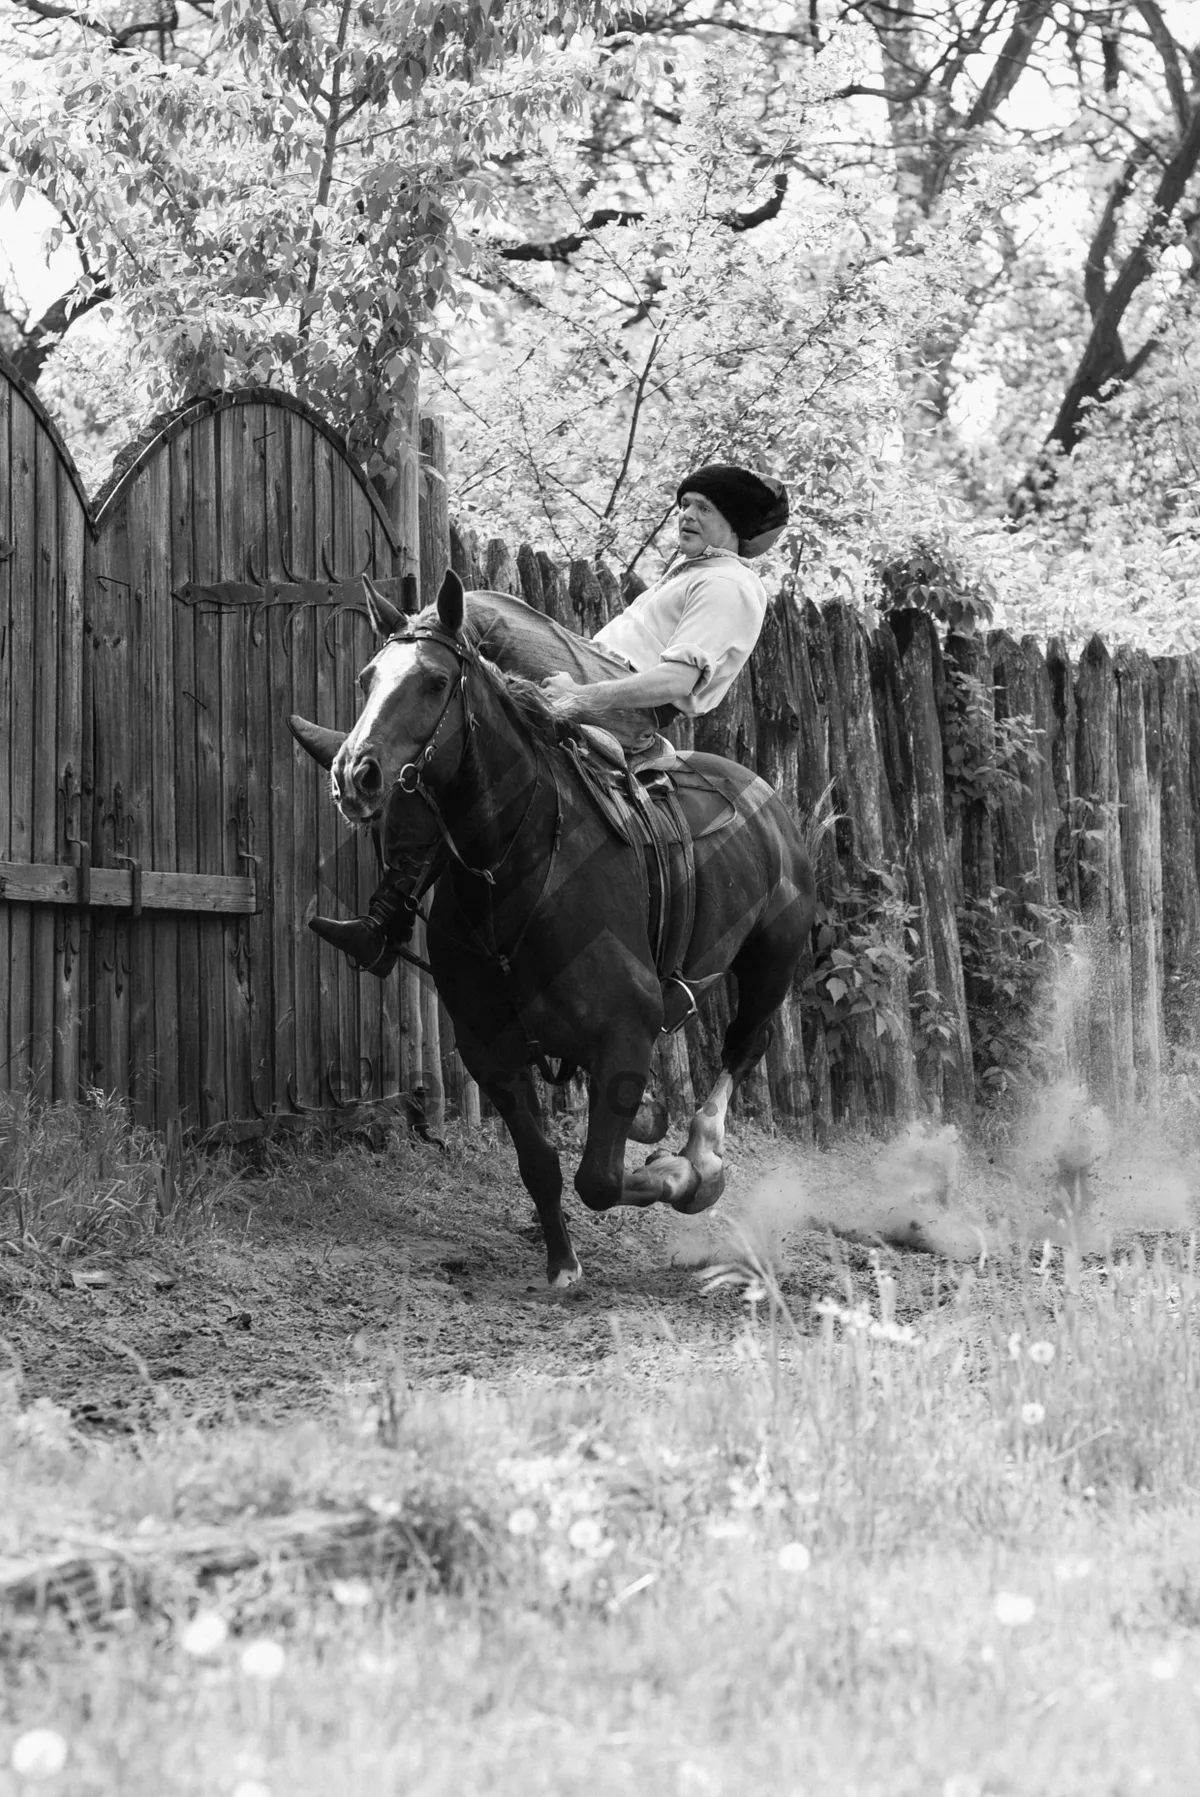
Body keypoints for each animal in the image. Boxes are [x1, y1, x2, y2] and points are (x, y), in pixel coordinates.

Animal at [291, 567, 815, 1286]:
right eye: (367, 677)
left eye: (434, 681)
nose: (353, 772)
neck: (517, 870)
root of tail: (768, 801)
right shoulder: (492, 1053)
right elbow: (540, 1163)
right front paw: (562, 1264)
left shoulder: (625, 1029)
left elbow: (599, 1177)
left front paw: (680, 1176)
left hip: (771, 964)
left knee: (742, 1048)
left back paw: (701, 1157)